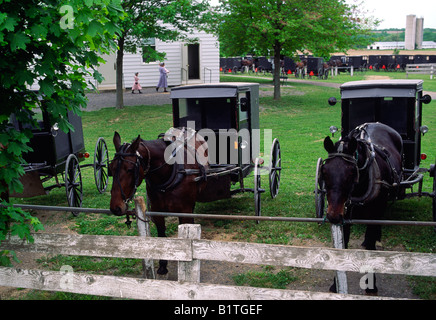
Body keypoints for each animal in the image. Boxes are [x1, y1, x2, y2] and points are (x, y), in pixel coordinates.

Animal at [320, 123, 402, 296]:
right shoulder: (344, 217)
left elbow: (370, 246)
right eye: (324, 170)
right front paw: (336, 284)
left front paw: (371, 284)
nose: (333, 215)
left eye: (352, 171)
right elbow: (342, 247)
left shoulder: (374, 215)